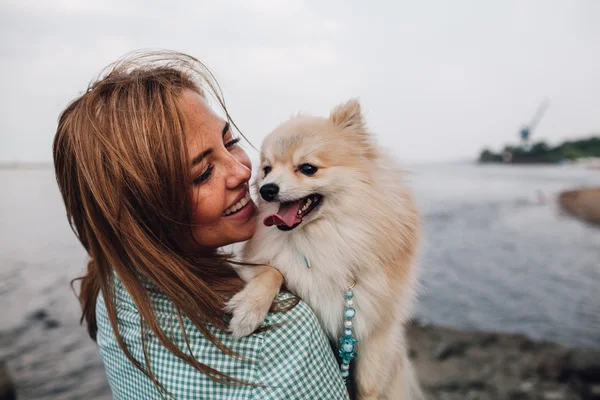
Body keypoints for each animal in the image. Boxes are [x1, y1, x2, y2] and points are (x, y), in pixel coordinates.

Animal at [227, 100, 424, 400]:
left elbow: (368, 386)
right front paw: (249, 310)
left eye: (308, 168)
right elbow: (273, 272)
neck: (322, 237)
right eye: (267, 169)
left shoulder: (376, 331)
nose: (266, 189)